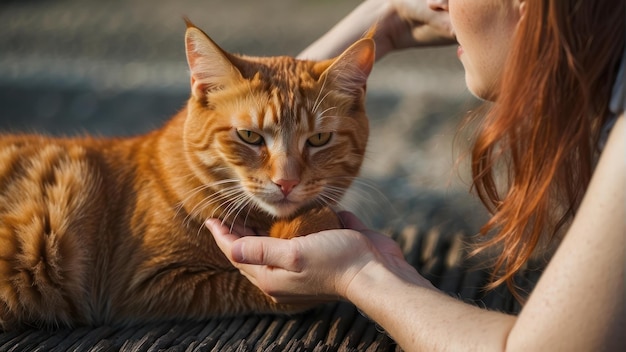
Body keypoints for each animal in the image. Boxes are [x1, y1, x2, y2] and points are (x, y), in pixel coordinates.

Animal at [0, 22, 372, 330]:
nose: (286, 182)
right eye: (249, 136)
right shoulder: (142, 285)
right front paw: (315, 221)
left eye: (319, 139)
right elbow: (247, 286)